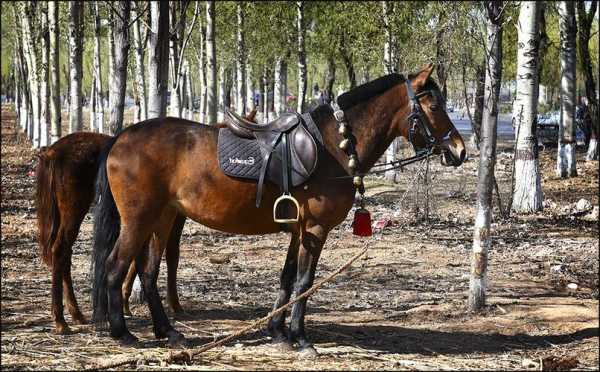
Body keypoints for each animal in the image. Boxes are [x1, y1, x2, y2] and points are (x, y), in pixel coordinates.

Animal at [90, 64, 464, 354]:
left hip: (162, 219)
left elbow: (287, 278)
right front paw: (300, 337)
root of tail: (121, 137)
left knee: (147, 272)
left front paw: (278, 332)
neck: (334, 146)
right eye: (434, 107)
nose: (459, 150)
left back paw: (167, 331)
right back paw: (123, 333)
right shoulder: (315, 230)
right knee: (115, 265)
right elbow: (305, 280)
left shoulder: (299, 229)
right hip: (139, 220)